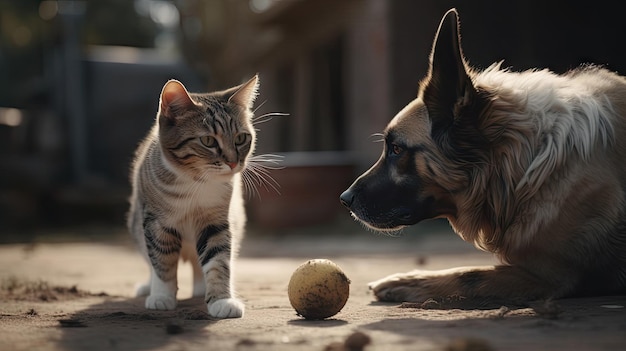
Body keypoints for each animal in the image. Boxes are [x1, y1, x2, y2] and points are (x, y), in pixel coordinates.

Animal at [127, 75, 264, 320]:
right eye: (208, 141)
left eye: (241, 138)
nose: (233, 162)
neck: (195, 183)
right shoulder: (156, 222)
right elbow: (162, 262)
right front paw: (162, 296)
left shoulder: (216, 221)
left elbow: (218, 261)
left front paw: (221, 300)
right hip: (137, 225)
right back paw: (149, 287)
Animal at [338, 8, 624, 308]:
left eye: (396, 149)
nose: (344, 199)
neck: (523, 167)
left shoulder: (552, 275)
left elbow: (471, 274)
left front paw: (408, 280)